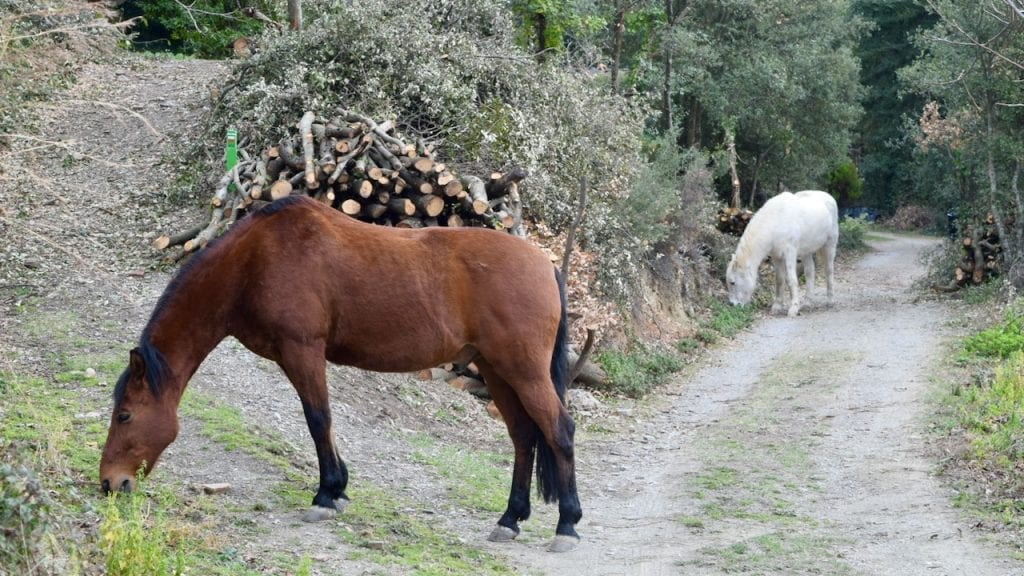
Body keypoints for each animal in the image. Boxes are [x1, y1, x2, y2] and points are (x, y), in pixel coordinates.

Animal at [103, 194, 585, 549]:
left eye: (124, 415)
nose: (110, 483)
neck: (254, 261)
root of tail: (546, 265)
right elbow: (325, 422)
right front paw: (339, 489)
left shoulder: (301, 351)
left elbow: (318, 419)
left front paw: (325, 493)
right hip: (498, 369)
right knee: (524, 436)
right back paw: (510, 519)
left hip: (523, 370)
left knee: (558, 429)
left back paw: (567, 524)